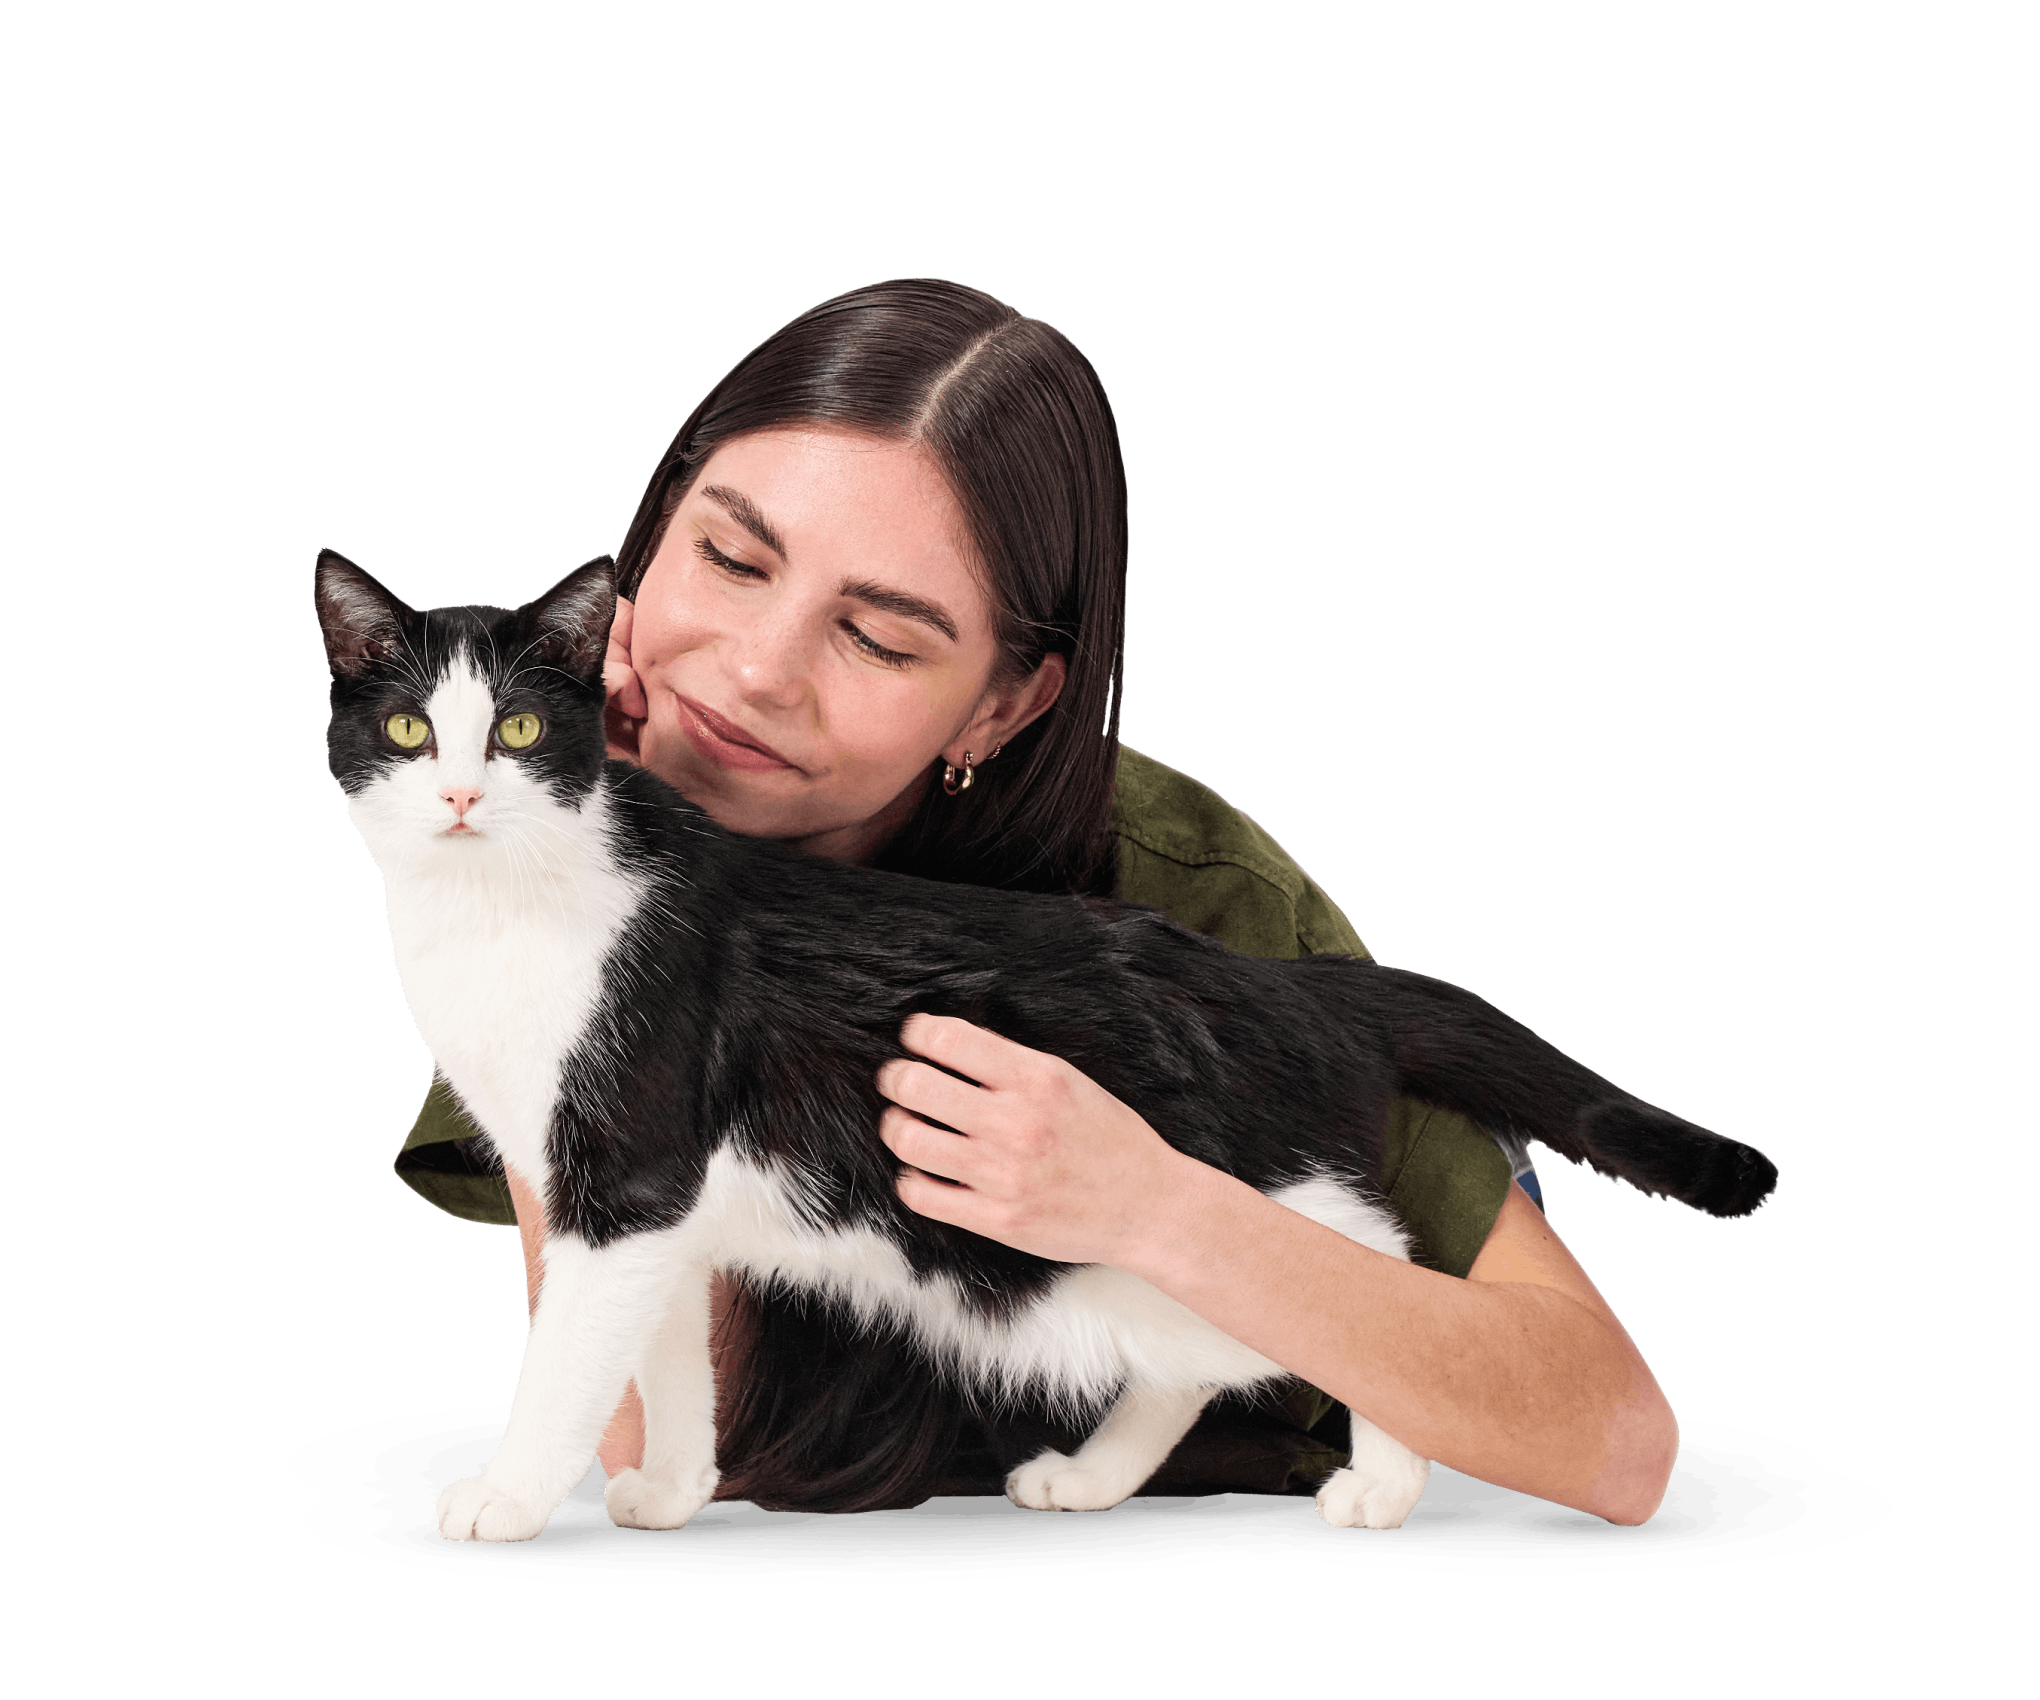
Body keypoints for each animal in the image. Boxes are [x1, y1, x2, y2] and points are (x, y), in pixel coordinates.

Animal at [310, 546, 1778, 1534]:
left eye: (516, 727)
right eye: (406, 728)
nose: (456, 795)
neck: (500, 914)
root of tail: (1289, 983)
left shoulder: (624, 1165)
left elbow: (564, 1360)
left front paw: (507, 1494)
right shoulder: (645, 1201)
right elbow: (661, 1354)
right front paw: (667, 1486)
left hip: (1235, 1190)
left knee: (1376, 1279)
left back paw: (1381, 1477)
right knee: (1215, 1348)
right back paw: (1091, 1471)